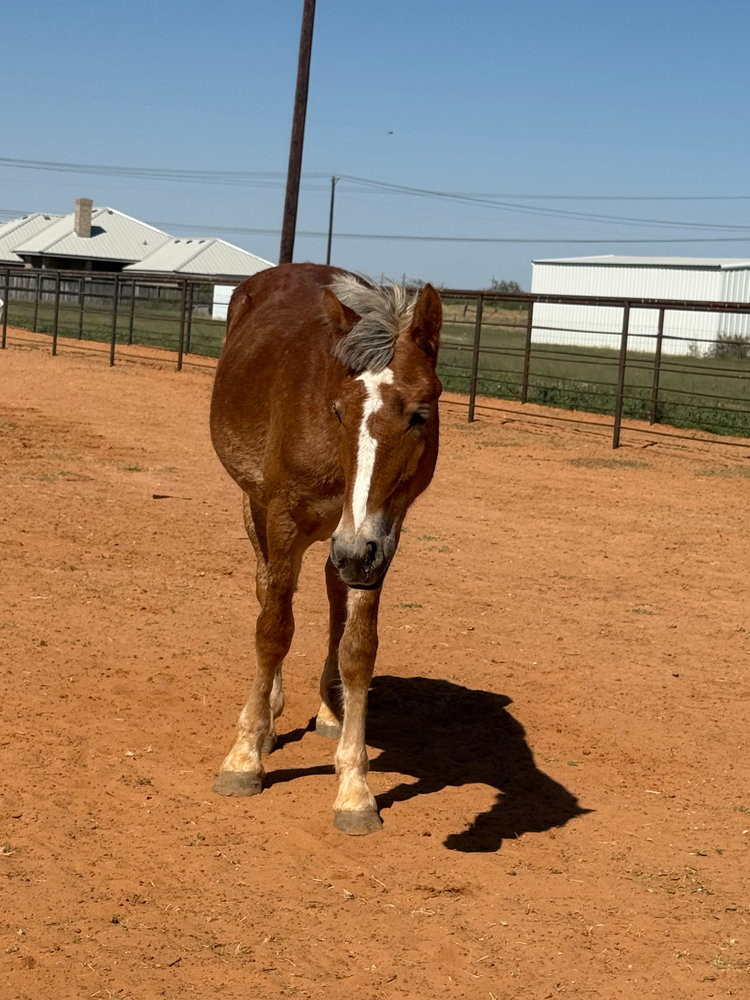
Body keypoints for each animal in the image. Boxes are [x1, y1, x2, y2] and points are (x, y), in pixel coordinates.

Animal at [209, 262, 442, 835]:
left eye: (420, 414)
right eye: (338, 410)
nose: (355, 552)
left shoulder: (380, 538)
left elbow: (358, 649)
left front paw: (354, 789)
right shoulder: (284, 519)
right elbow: (272, 630)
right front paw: (244, 758)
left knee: (334, 599)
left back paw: (331, 713)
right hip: (260, 511)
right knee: (268, 591)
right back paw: (268, 720)